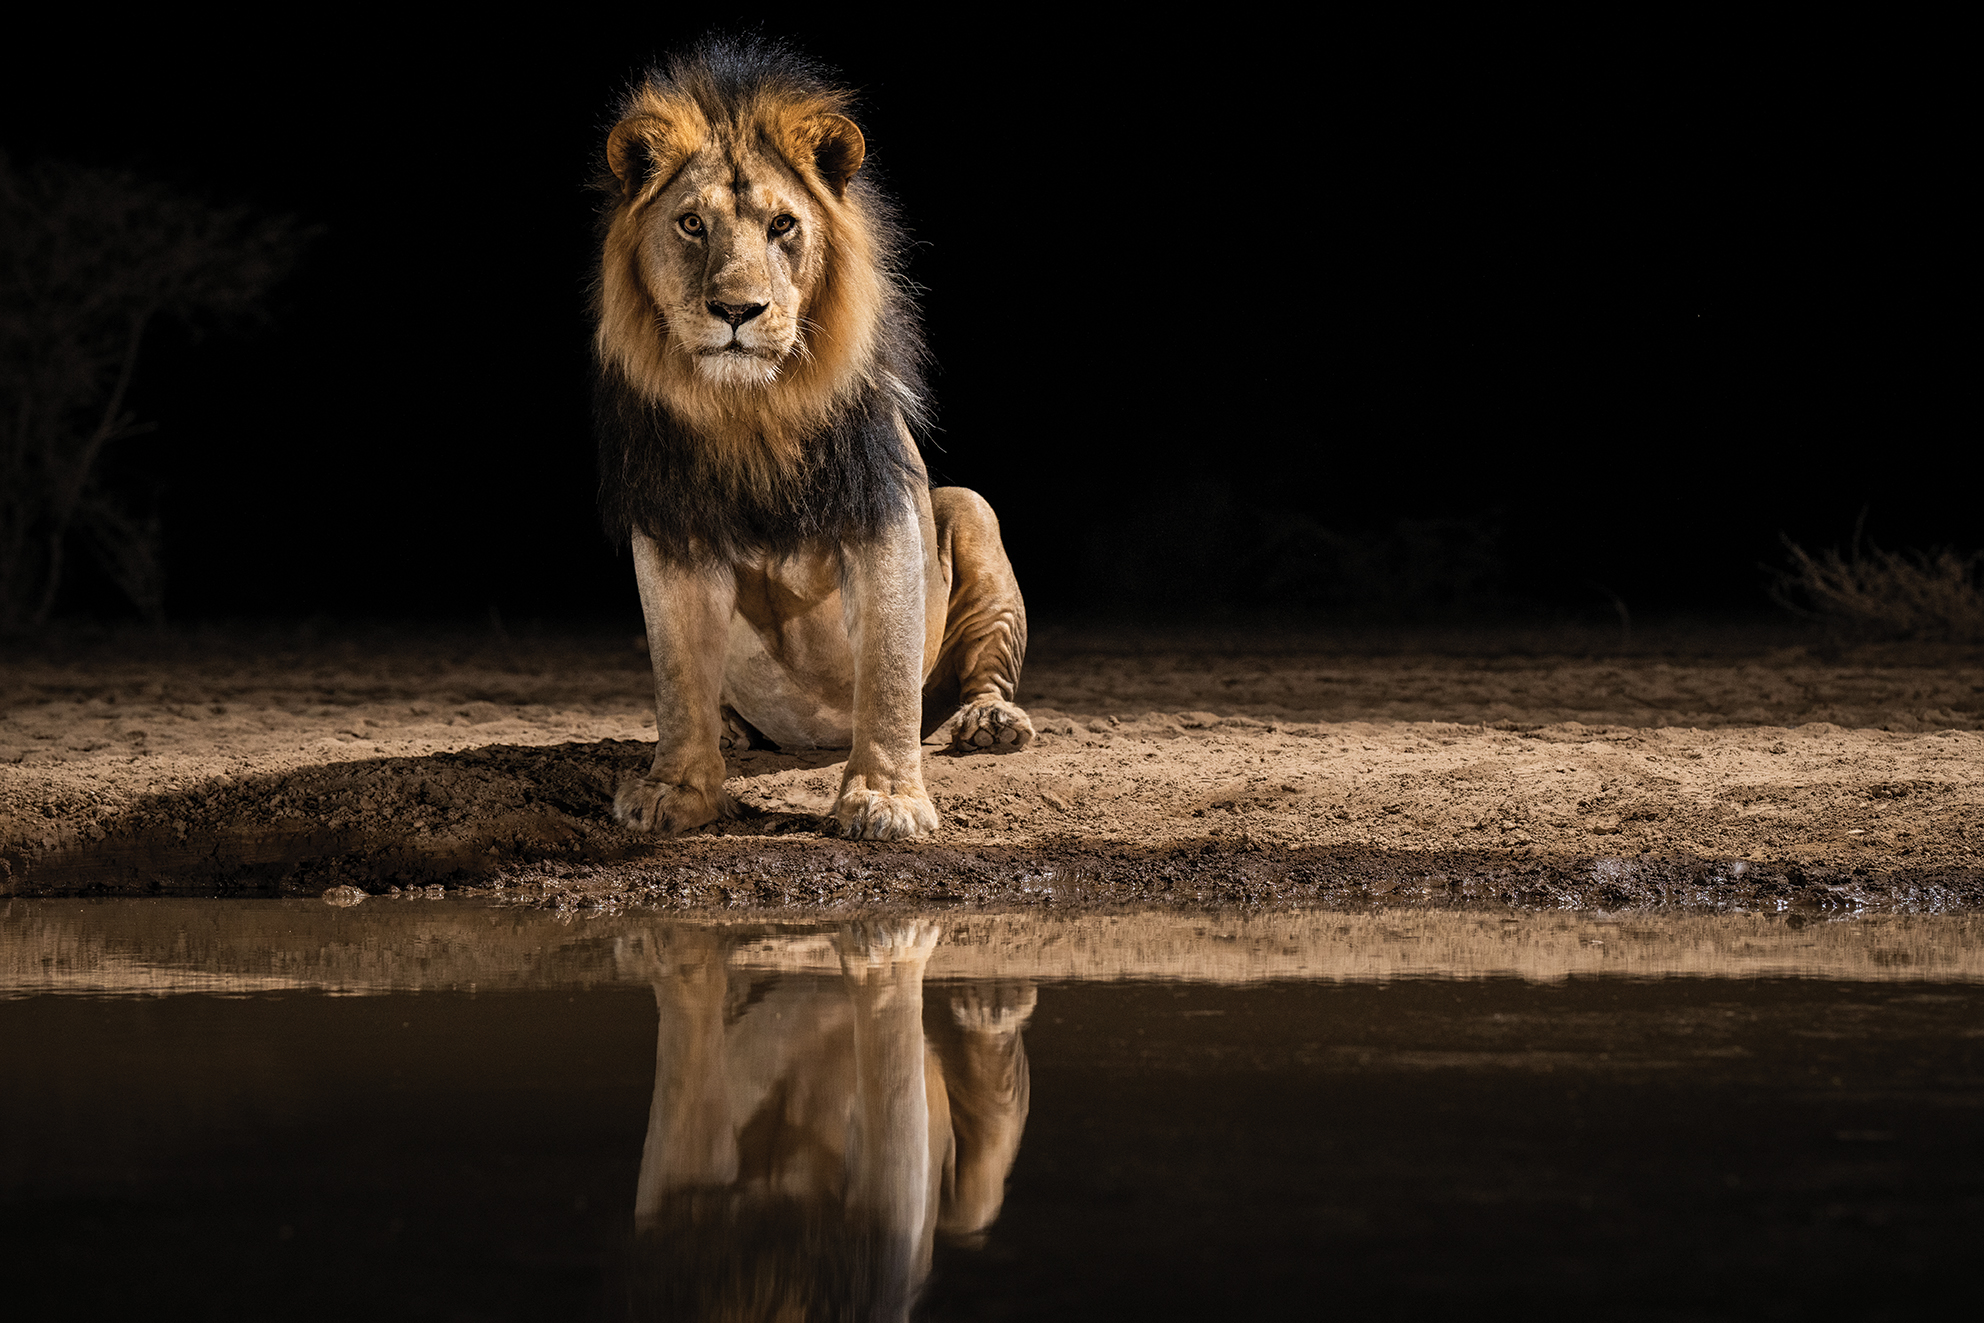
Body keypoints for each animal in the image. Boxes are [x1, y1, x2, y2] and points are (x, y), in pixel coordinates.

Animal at [594, 38, 1032, 842]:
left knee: (980, 671)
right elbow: (678, 677)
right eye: (692, 224)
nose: (737, 309)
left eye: (782, 226)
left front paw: (886, 799)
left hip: (972, 512)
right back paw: (733, 731)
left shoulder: (882, 520)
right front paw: (676, 789)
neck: (751, 413)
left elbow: (887, 673)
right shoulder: (671, 532)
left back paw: (991, 722)